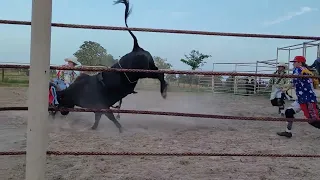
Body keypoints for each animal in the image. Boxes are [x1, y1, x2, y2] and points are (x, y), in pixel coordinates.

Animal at [49, 0, 169, 132]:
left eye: (61, 99)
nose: (60, 112)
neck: (78, 90)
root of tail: (136, 48)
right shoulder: (99, 107)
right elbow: (99, 117)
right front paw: (94, 128)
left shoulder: (102, 106)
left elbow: (111, 117)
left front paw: (121, 129)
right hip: (149, 67)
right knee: (159, 72)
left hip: (143, 72)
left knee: (160, 74)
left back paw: (163, 91)